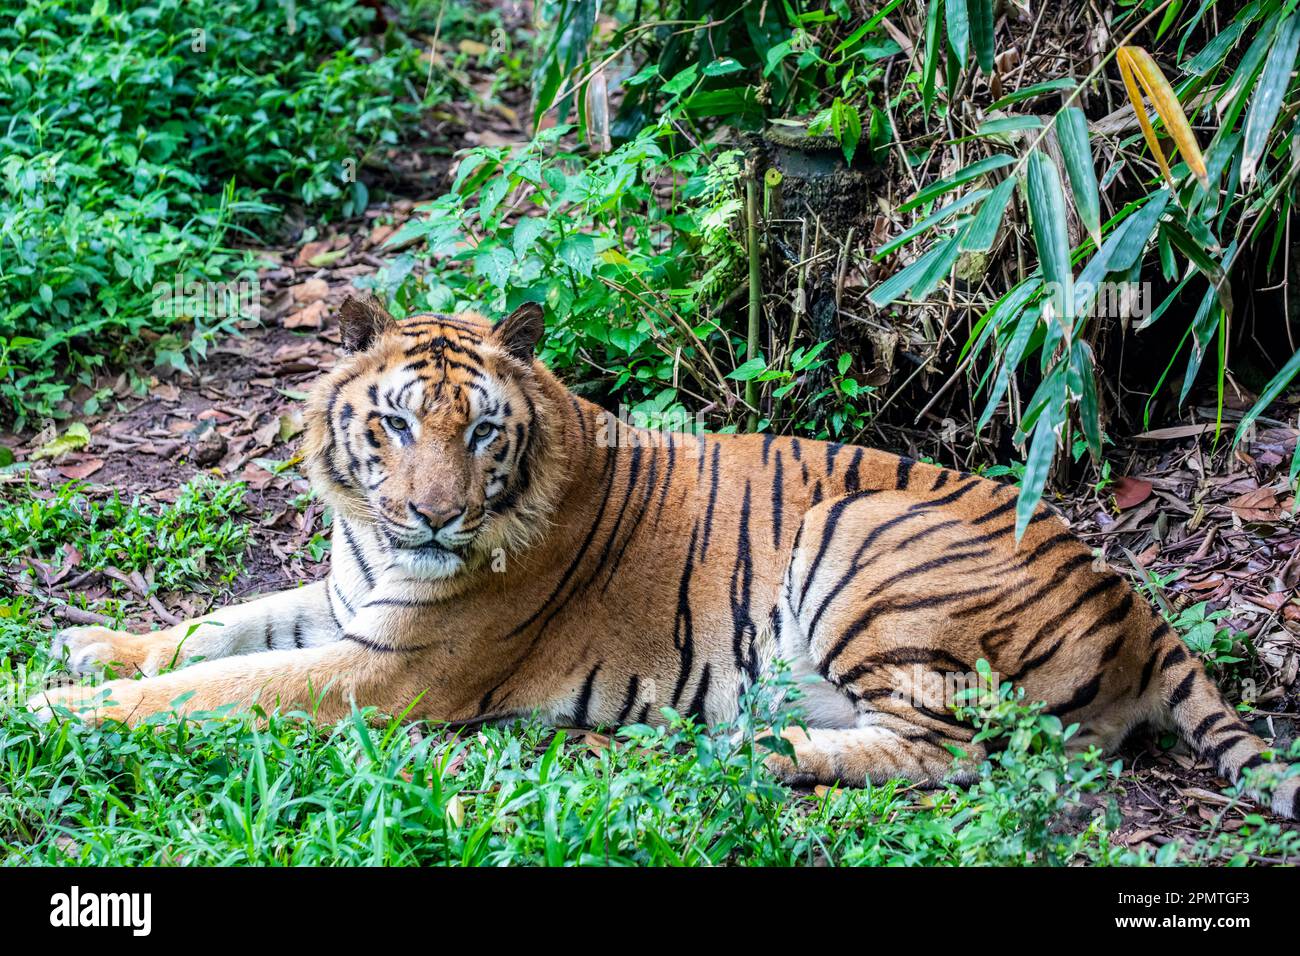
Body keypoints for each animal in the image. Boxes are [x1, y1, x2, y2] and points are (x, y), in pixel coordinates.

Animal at [35, 295, 1300, 816]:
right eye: (390, 424)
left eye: (480, 430)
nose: (435, 520)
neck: (376, 535)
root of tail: (1131, 596)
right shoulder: (353, 603)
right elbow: (221, 626)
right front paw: (92, 645)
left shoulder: (392, 665)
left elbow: (216, 685)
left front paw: (48, 708)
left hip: (860, 542)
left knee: (951, 753)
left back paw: (739, 751)